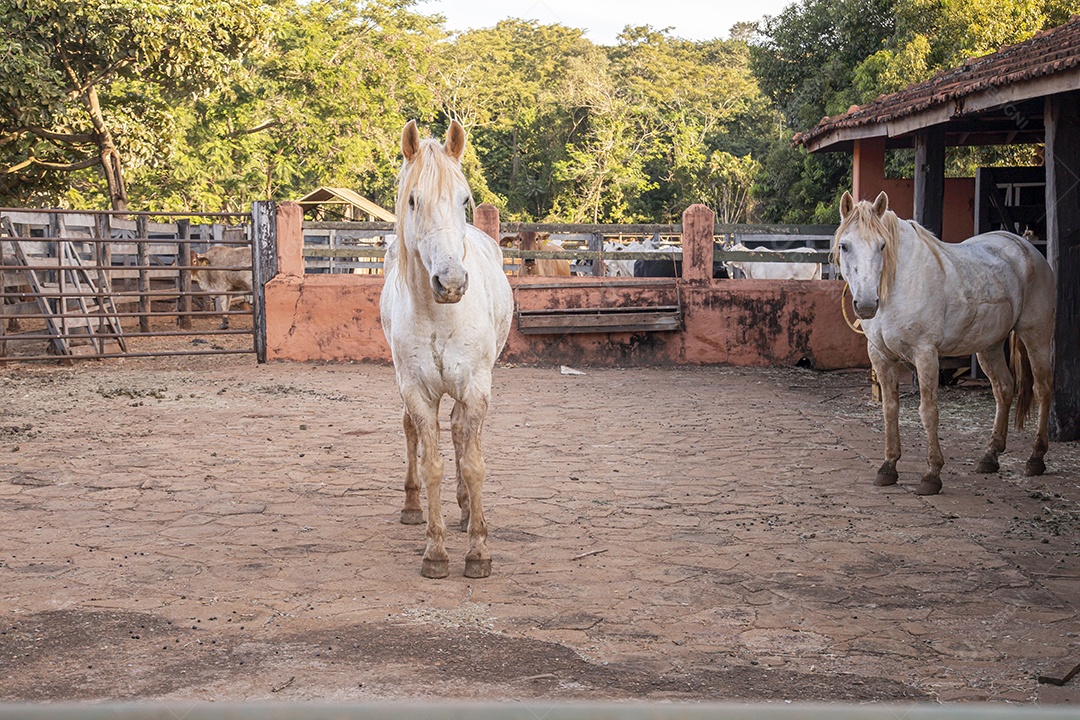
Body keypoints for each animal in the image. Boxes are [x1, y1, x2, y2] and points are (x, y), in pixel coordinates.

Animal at [380, 120, 513, 578]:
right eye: (413, 200)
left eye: (464, 198)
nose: (451, 281)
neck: (441, 316)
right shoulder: (417, 391)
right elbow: (431, 464)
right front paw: (435, 551)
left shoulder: (475, 388)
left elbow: (472, 464)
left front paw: (479, 549)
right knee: (411, 433)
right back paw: (412, 506)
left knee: (458, 432)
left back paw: (466, 511)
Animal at [835, 191, 1055, 495]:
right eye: (845, 246)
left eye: (882, 245)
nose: (867, 304)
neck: (900, 285)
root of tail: (1027, 247)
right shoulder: (880, 355)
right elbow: (890, 409)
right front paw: (888, 466)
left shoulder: (925, 354)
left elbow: (928, 411)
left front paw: (932, 474)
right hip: (989, 344)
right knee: (1004, 389)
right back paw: (990, 456)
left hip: (1036, 335)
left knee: (1042, 389)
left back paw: (1035, 458)